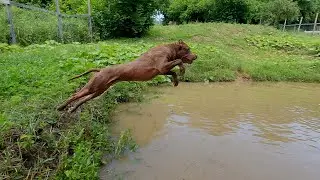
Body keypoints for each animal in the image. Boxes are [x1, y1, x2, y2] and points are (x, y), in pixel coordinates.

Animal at [57, 40, 198, 112]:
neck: (169, 48)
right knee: (75, 95)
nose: (196, 56)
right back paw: (61, 107)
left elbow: (173, 72)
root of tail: (101, 69)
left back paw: (72, 109)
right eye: (188, 49)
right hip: (93, 87)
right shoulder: (162, 66)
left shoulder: (162, 71)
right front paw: (182, 70)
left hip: (99, 90)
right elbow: (179, 61)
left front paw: (176, 81)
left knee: (83, 99)